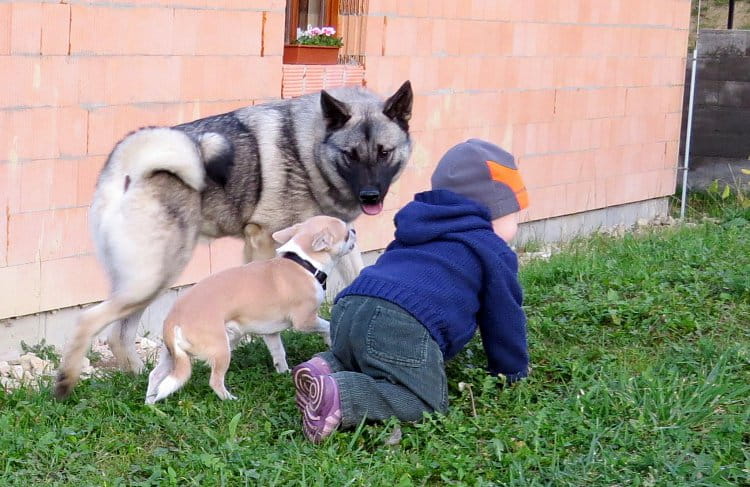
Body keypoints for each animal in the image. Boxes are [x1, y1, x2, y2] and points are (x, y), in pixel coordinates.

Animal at [55, 81, 414, 400]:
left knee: (120, 335)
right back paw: (65, 384)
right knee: (89, 320)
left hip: (149, 281)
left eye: (384, 153)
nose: (370, 195)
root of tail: (127, 171)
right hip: (154, 276)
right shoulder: (262, 239)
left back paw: (142, 377)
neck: (307, 149)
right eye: (350, 155)